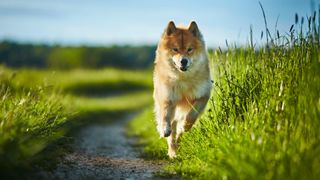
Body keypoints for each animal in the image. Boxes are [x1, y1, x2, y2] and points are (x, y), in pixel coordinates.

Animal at [153, 21, 212, 158]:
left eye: (190, 49)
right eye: (175, 49)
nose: (183, 61)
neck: (183, 79)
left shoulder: (203, 95)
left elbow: (191, 115)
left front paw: (185, 126)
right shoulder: (167, 97)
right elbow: (165, 116)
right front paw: (164, 129)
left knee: (179, 132)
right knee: (172, 133)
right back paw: (172, 152)